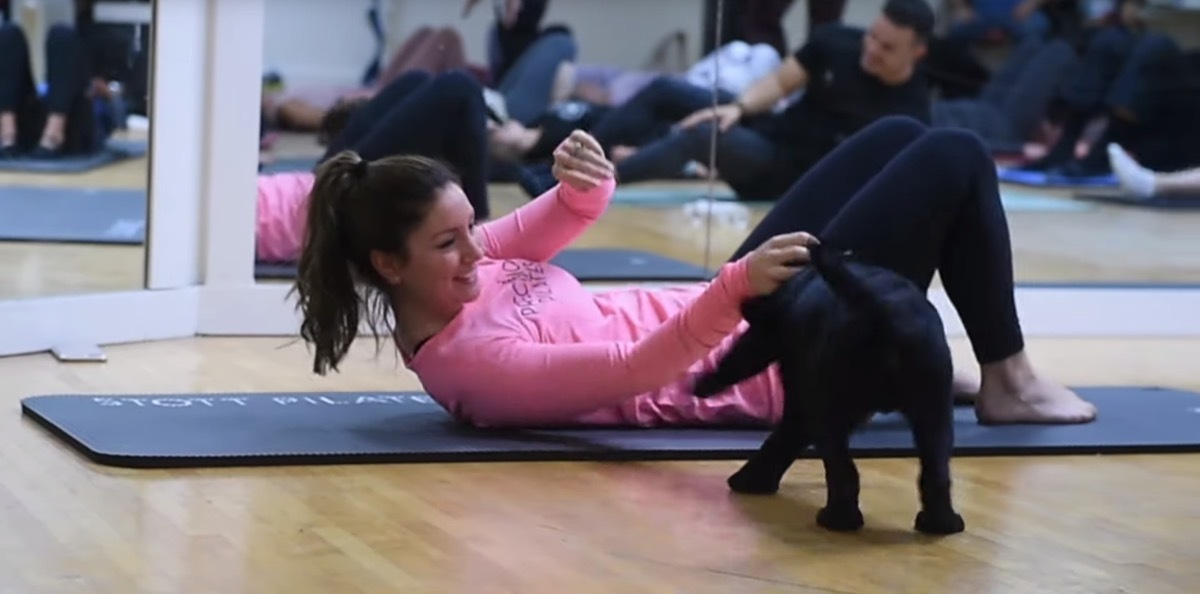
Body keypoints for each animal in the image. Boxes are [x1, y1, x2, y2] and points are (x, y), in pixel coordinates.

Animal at [696, 243, 964, 537]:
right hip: (933, 411)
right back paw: (941, 523)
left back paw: (838, 519)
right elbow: (782, 441)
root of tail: (880, 307)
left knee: (843, 471)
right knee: (936, 471)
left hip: (831, 411)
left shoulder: (772, 348)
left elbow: (741, 365)